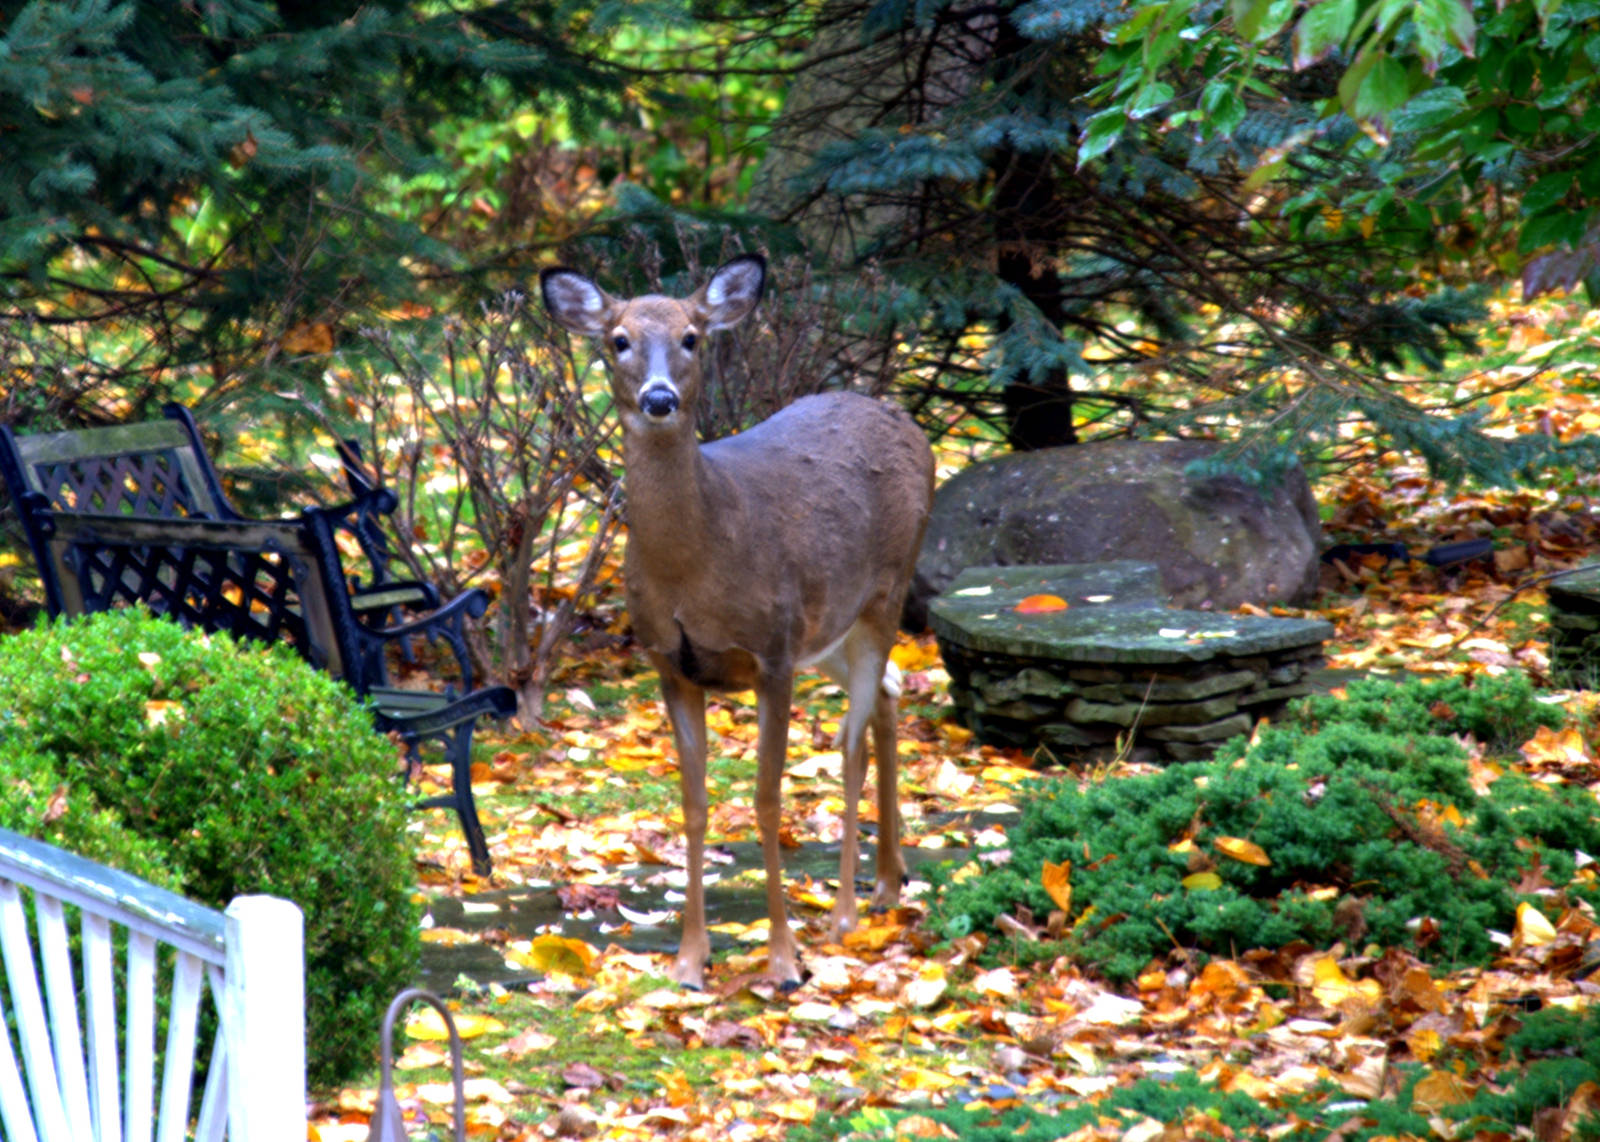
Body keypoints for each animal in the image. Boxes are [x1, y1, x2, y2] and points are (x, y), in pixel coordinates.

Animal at [540, 254, 935, 989]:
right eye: (618, 339)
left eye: (693, 336)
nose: (659, 398)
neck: (695, 561)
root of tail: (905, 421)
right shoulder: (670, 664)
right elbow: (694, 807)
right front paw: (690, 959)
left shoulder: (772, 653)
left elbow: (766, 798)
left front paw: (782, 960)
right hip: (830, 627)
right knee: (889, 696)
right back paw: (889, 880)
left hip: (885, 591)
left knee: (851, 741)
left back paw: (844, 913)